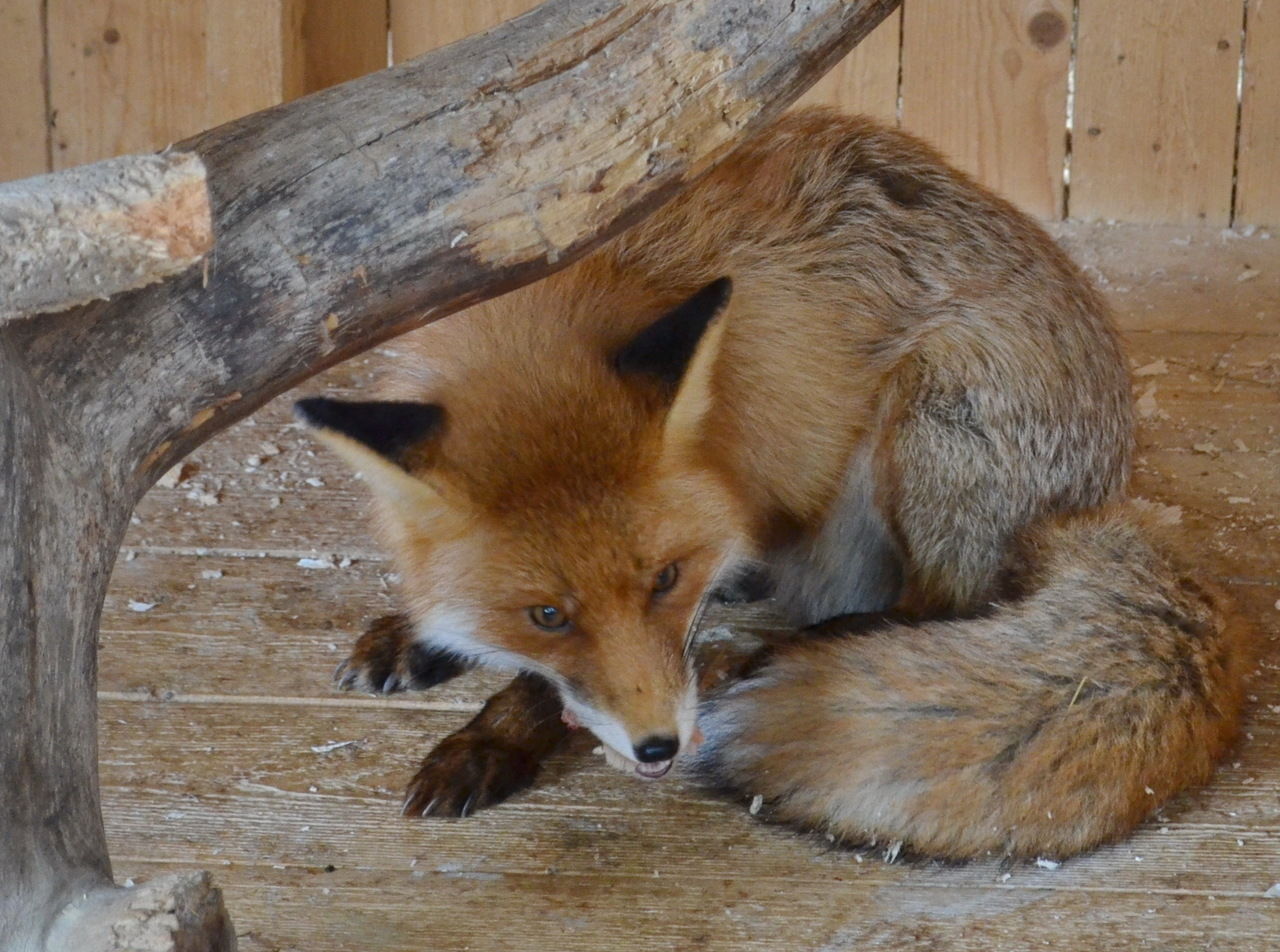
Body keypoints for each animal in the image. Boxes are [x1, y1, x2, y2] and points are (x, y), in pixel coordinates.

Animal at [294, 109, 1244, 854]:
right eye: (547, 615)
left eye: (666, 579)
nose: (659, 749)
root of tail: (1110, 495)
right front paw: (426, 638)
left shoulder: (730, 523)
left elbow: (562, 681)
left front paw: (498, 735)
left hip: (929, 420)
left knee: (943, 604)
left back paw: (791, 652)